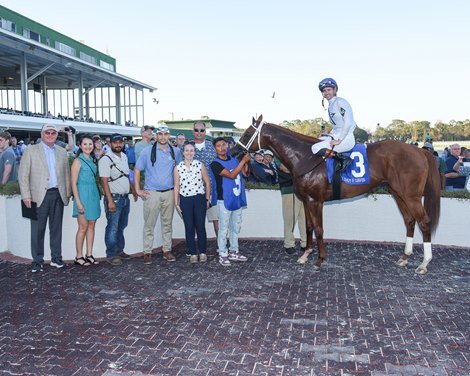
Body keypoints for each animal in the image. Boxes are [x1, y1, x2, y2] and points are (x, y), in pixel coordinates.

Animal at [235, 114, 440, 274]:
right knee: (410, 221)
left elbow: (319, 229)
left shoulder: (316, 201)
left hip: (411, 196)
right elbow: (308, 227)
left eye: (247, 134)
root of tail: (419, 151)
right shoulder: (306, 200)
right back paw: (405, 257)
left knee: (424, 222)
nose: (234, 151)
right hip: (399, 194)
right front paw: (305, 255)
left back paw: (424, 264)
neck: (305, 156)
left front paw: (319, 260)